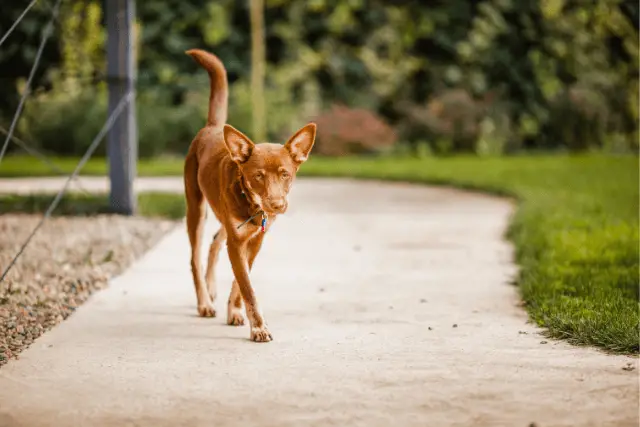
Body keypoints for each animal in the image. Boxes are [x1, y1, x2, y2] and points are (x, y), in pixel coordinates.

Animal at [184, 49, 316, 344]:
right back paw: (204, 302)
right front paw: (259, 327)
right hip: (196, 209)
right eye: (258, 176)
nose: (277, 205)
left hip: (224, 218)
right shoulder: (237, 243)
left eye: (285, 174)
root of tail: (213, 127)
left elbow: (239, 282)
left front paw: (234, 311)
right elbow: (248, 287)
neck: (253, 205)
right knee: (195, 257)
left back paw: (211, 289)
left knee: (214, 242)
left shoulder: (255, 240)